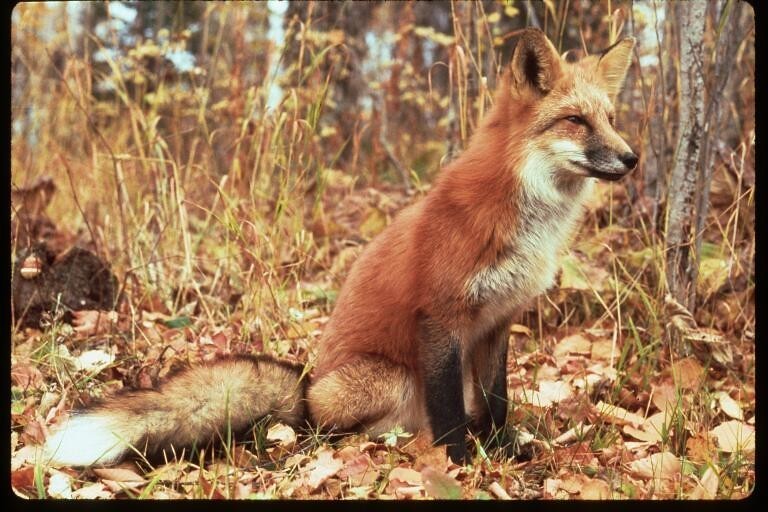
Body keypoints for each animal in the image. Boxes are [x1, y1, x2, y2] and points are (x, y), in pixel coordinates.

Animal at [42, 28, 638, 467]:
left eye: (610, 119)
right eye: (576, 121)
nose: (632, 158)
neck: (526, 218)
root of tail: (305, 393)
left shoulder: (496, 322)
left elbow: (497, 401)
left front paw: (498, 450)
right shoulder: (440, 316)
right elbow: (449, 411)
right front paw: (460, 462)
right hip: (387, 379)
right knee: (332, 433)